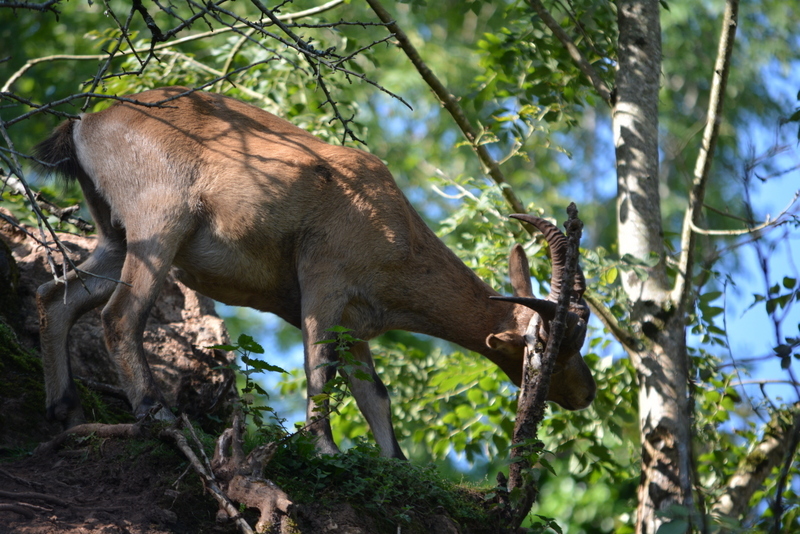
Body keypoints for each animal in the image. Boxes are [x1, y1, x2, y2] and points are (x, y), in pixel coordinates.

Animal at [34, 88, 592, 460]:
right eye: (551, 345)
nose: (585, 393)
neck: (398, 231)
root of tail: (87, 124)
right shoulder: (326, 284)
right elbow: (319, 367)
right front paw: (325, 449)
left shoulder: (355, 321)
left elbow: (375, 394)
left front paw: (396, 464)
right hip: (159, 222)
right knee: (120, 315)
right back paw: (158, 415)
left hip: (114, 237)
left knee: (55, 297)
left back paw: (66, 412)